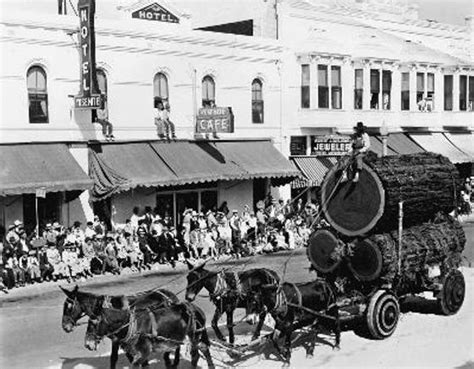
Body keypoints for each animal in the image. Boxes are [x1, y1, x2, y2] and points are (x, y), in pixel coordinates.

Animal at [84, 300, 215, 368]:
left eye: (94, 323)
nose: (87, 344)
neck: (131, 325)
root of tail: (194, 307)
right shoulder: (139, 354)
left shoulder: (144, 352)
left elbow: (135, 365)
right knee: (199, 351)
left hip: (194, 335)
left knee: (199, 351)